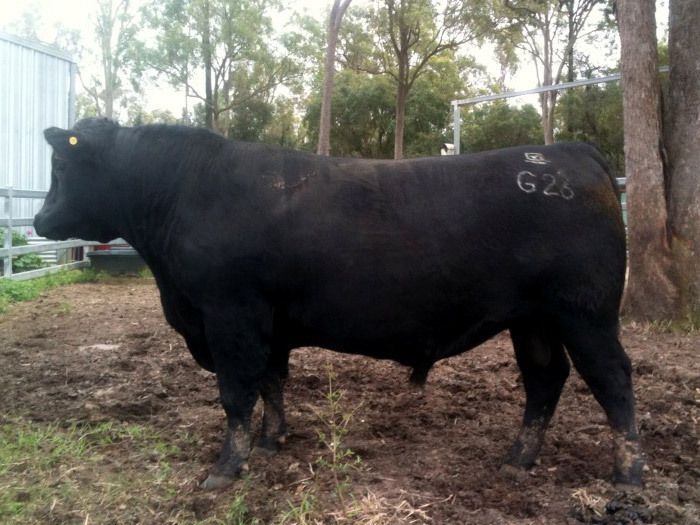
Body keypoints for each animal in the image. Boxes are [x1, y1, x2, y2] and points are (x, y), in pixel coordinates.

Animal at [35, 118, 644, 490]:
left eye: (60, 169)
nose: (39, 221)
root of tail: (569, 151)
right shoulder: (268, 325)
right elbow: (271, 383)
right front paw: (273, 439)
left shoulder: (229, 315)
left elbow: (235, 393)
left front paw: (226, 468)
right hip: (534, 320)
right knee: (545, 379)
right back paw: (518, 459)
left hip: (586, 314)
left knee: (613, 379)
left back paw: (628, 473)